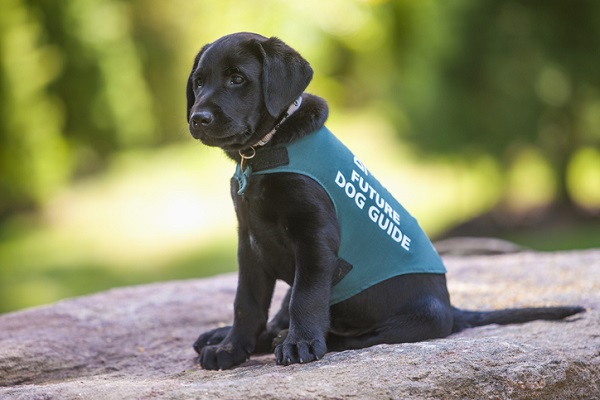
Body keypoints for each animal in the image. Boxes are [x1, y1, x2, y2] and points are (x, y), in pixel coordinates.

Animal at [185, 32, 584, 370]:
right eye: (199, 82)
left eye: (238, 79)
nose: (197, 118)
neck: (265, 150)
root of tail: (452, 308)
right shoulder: (251, 243)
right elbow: (247, 302)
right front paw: (231, 348)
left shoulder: (315, 238)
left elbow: (306, 298)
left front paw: (300, 344)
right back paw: (229, 336)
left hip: (412, 319)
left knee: (353, 337)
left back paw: (296, 338)